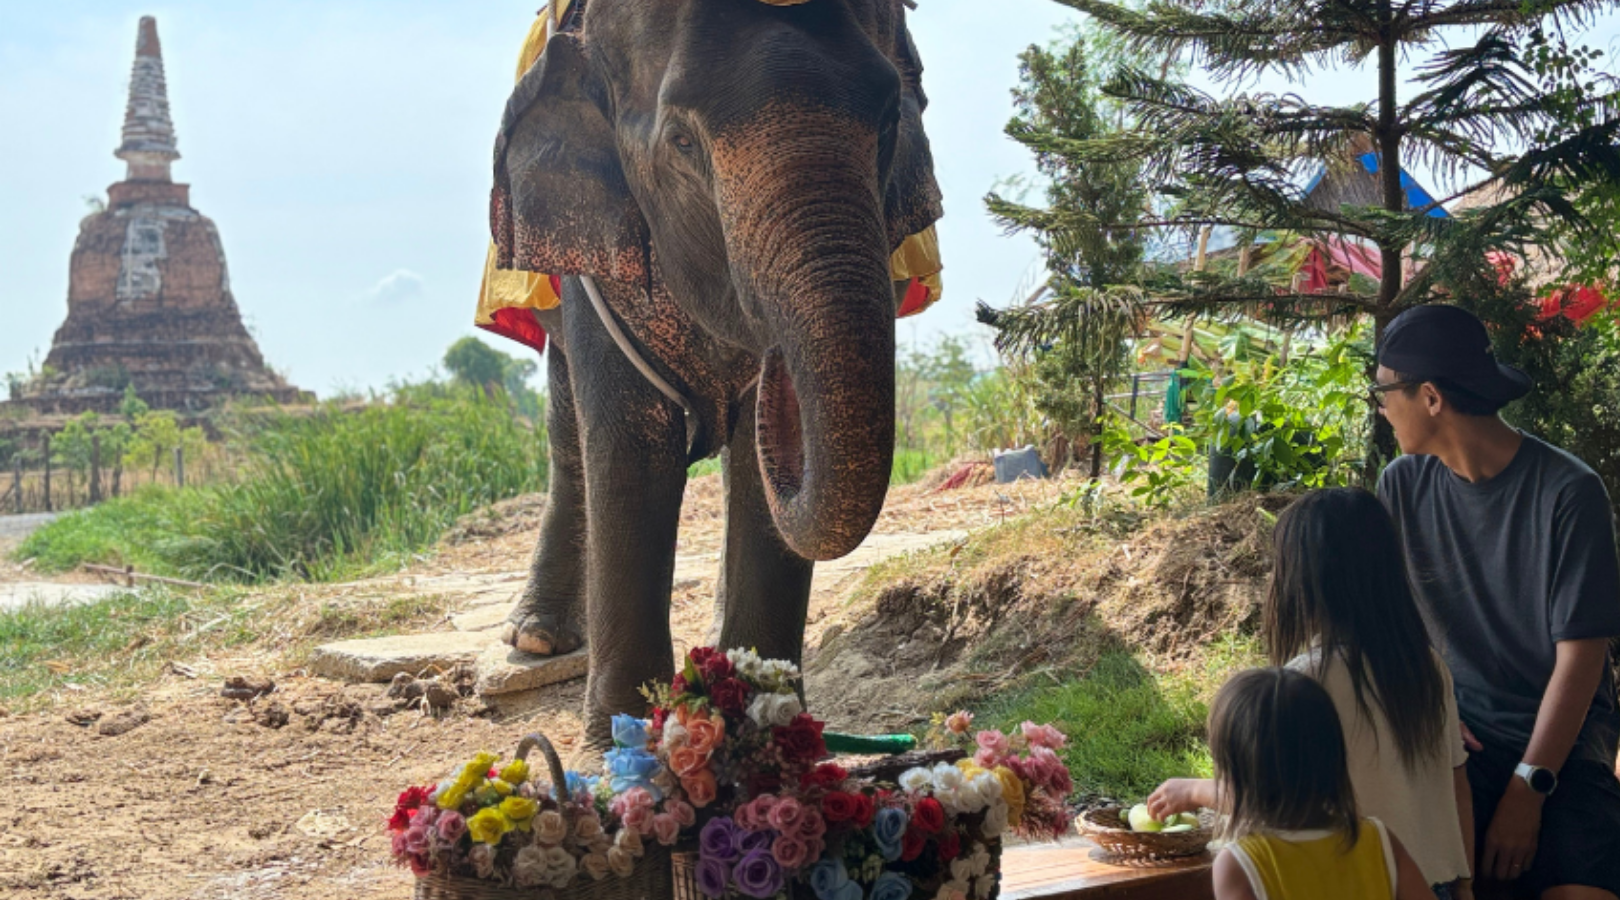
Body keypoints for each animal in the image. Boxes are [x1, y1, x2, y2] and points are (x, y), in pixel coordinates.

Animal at [489, 0, 942, 746]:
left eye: (887, 122)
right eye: (681, 142)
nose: (773, 354)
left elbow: (757, 478)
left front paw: (762, 718)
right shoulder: (599, 259)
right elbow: (629, 443)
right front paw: (623, 738)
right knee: (567, 428)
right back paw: (536, 639)